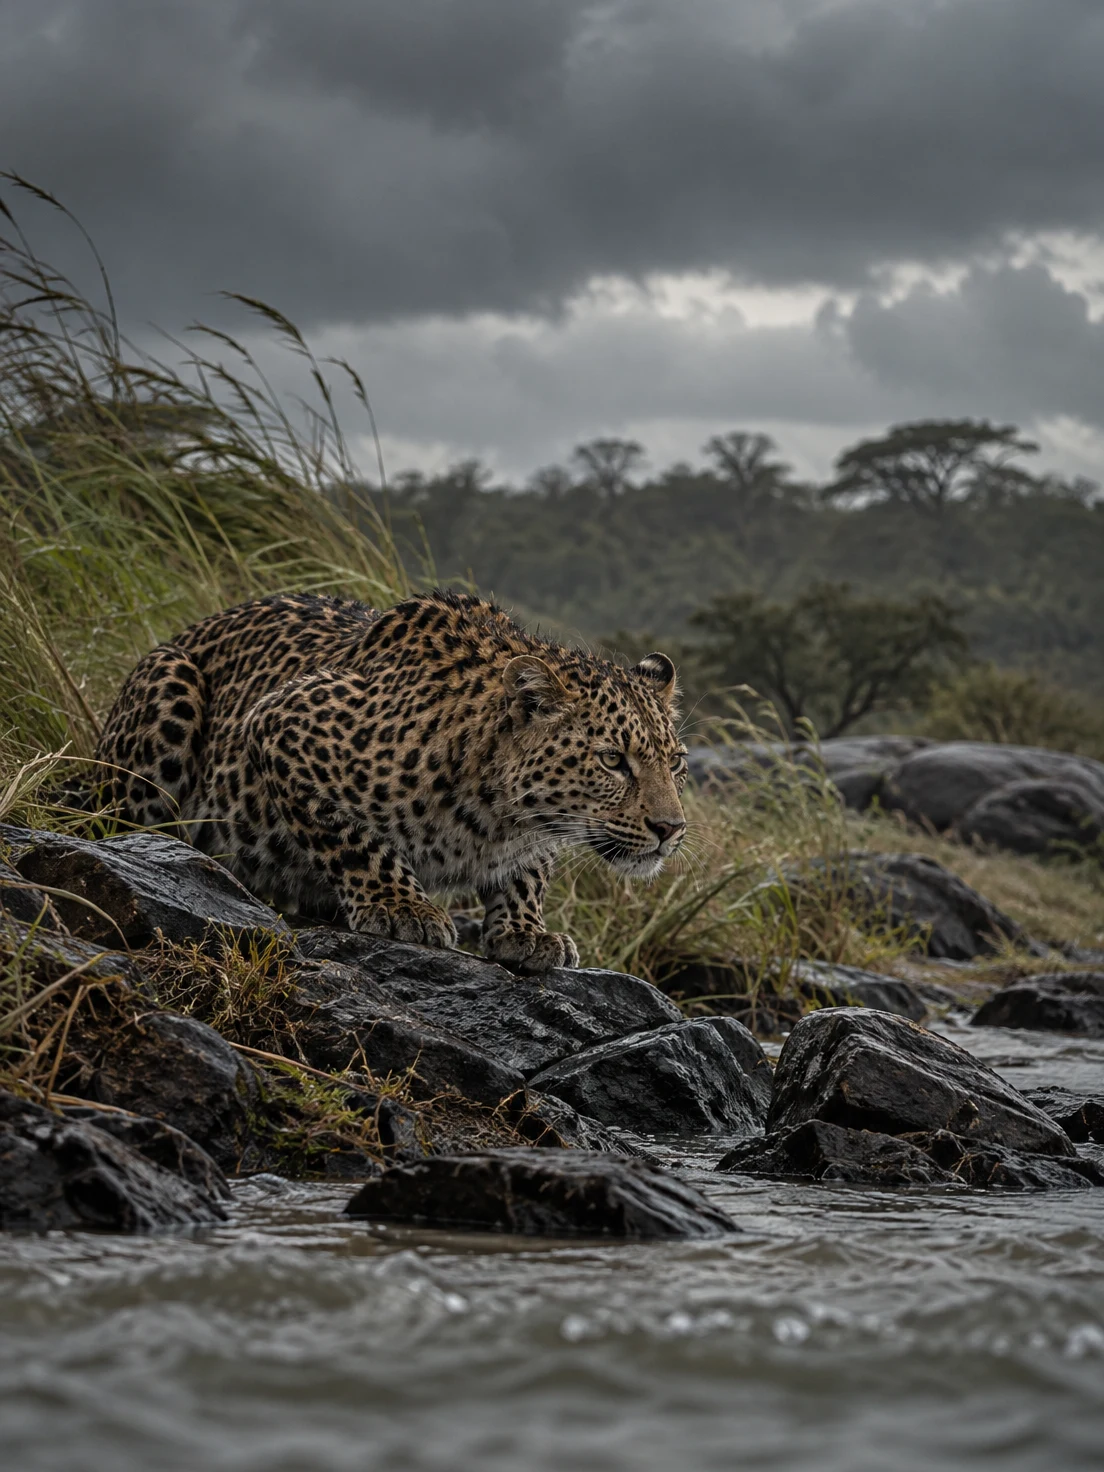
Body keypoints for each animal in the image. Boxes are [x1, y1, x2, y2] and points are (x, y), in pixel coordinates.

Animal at [94, 589, 688, 973]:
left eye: (677, 763)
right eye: (612, 760)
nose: (672, 829)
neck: (498, 814)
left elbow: (528, 873)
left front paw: (525, 932)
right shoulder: (281, 721)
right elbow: (355, 840)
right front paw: (402, 907)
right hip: (170, 687)